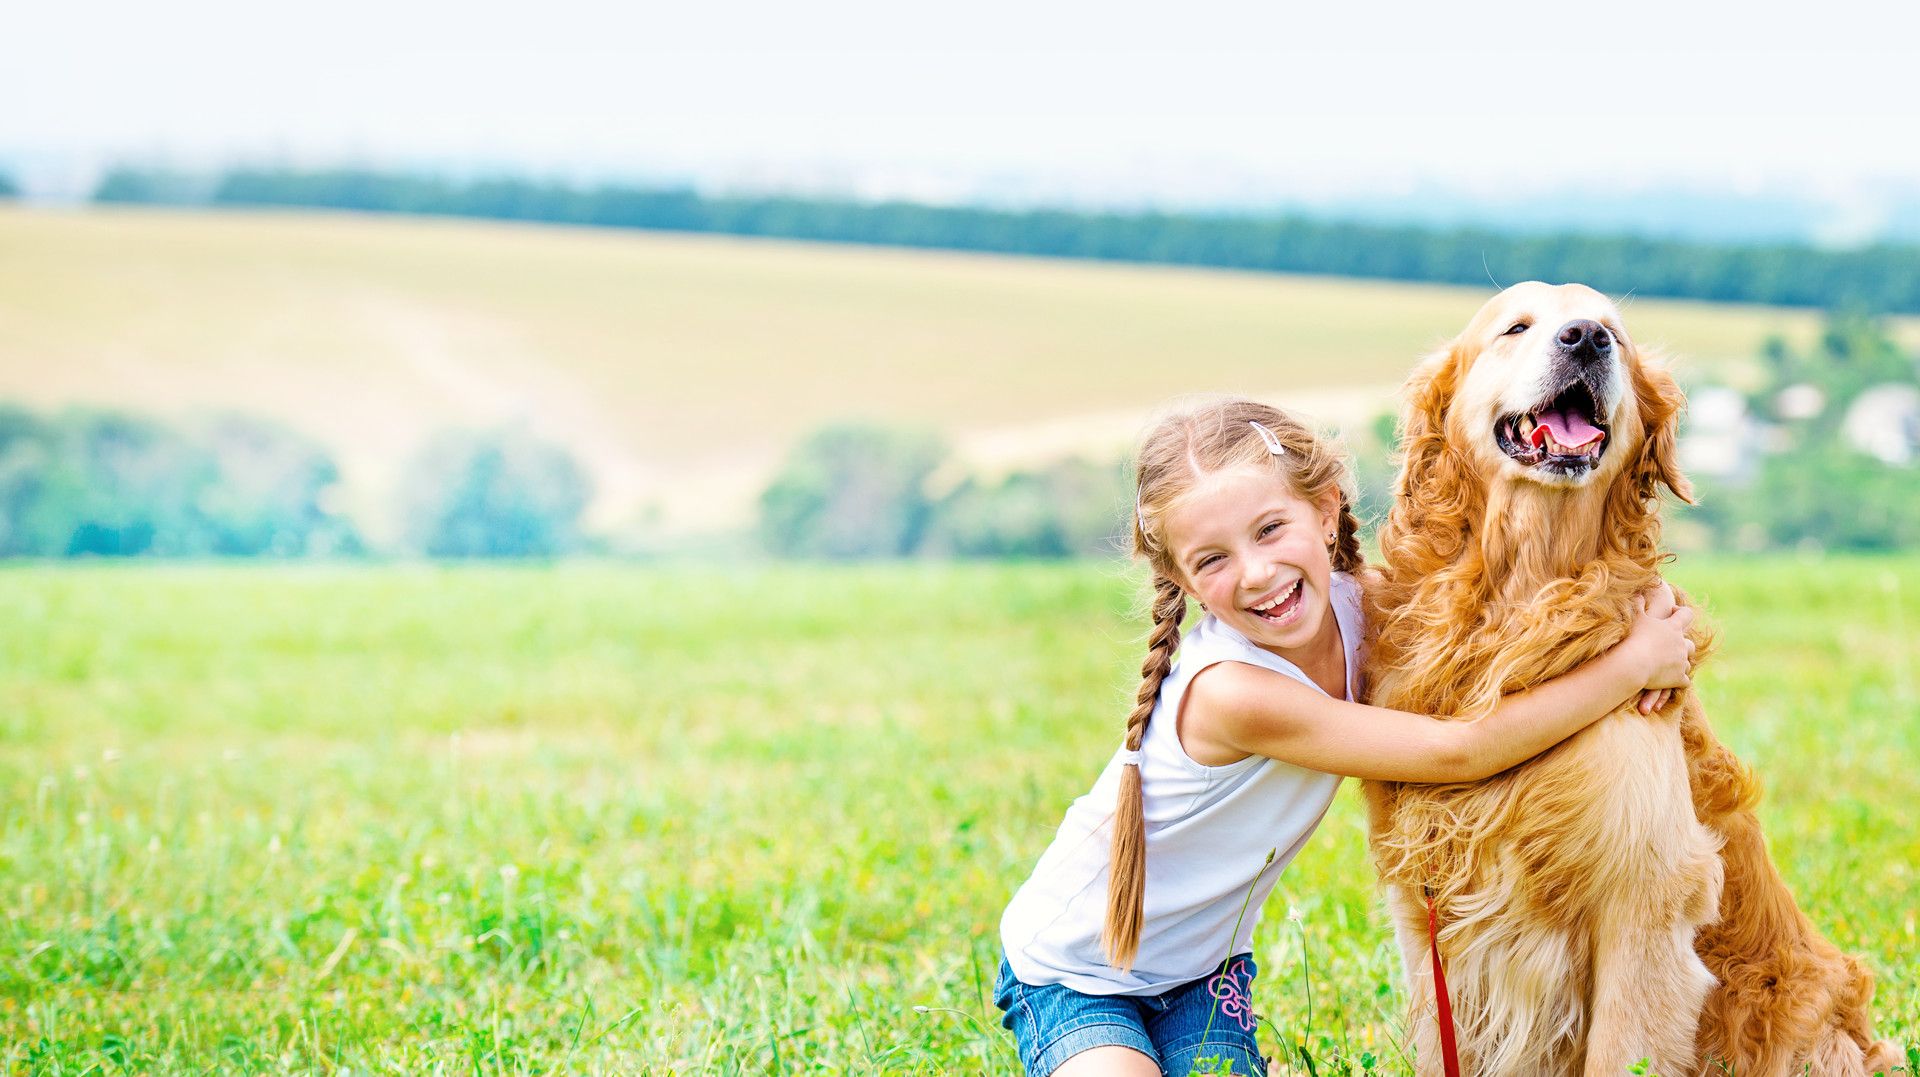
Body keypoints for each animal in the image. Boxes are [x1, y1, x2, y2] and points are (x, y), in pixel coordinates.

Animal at [1359, 282, 1896, 1067]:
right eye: (1517, 327)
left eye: (1613, 331)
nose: (1585, 338)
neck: (1529, 595)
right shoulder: (1426, 910)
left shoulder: (1646, 903)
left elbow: (1623, 1047)